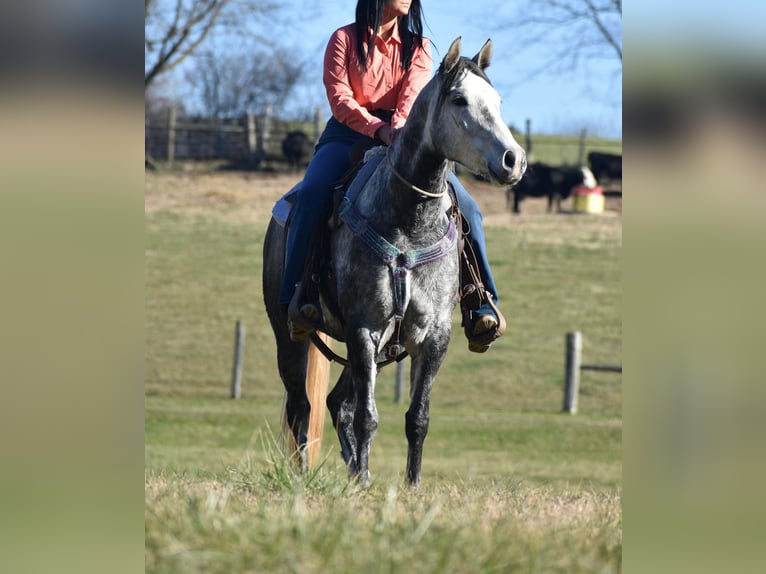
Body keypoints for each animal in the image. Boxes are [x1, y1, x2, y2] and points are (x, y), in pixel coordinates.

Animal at [264, 37, 528, 486]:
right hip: (289, 334)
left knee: (337, 403)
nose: (514, 160)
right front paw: (366, 482)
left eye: (496, 100)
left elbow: (416, 418)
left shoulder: (432, 336)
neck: (408, 221)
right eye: (459, 100)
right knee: (302, 405)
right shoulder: (365, 327)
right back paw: (305, 475)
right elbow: (368, 417)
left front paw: (411, 485)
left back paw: (354, 470)